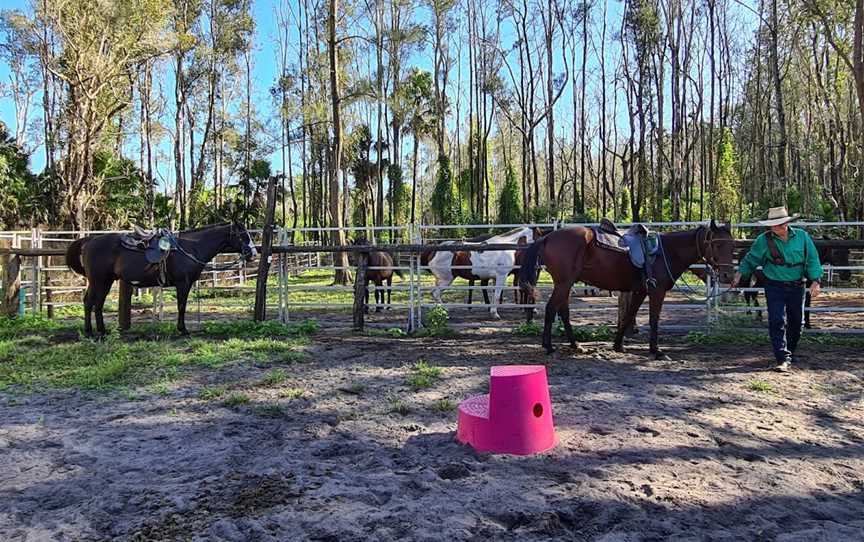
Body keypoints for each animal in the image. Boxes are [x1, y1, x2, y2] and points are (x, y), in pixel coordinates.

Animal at [65, 223, 255, 338]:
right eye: (243, 235)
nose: (253, 253)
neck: (191, 248)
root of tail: (89, 240)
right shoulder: (183, 283)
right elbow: (181, 306)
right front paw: (183, 330)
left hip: (104, 281)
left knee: (95, 303)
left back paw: (99, 331)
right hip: (99, 280)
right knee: (91, 302)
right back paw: (93, 332)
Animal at [520, 219, 736, 360]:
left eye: (732, 245)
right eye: (716, 244)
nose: (728, 276)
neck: (668, 251)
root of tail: (548, 238)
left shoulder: (641, 291)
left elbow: (628, 315)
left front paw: (618, 345)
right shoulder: (656, 291)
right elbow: (654, 318)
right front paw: (656, 350)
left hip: (566, 283)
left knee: (563, 311)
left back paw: (576, 345)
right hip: (564, 283)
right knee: (551, 309)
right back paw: (549, 347)